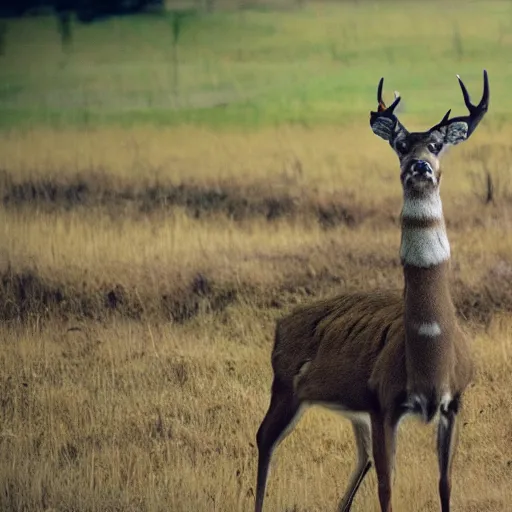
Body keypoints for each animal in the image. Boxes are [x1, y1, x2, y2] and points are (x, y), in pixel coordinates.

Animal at [254, 70, 490, 510]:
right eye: (401, 145)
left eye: (436, 144)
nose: (419, 165)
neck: (430, 352)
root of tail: (282, 323)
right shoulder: (385, 403)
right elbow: (387, 485)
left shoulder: (453, 404)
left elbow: (445, 484)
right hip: (286, 388)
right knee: (264, 440)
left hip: (352, 409)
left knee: (359, 455)